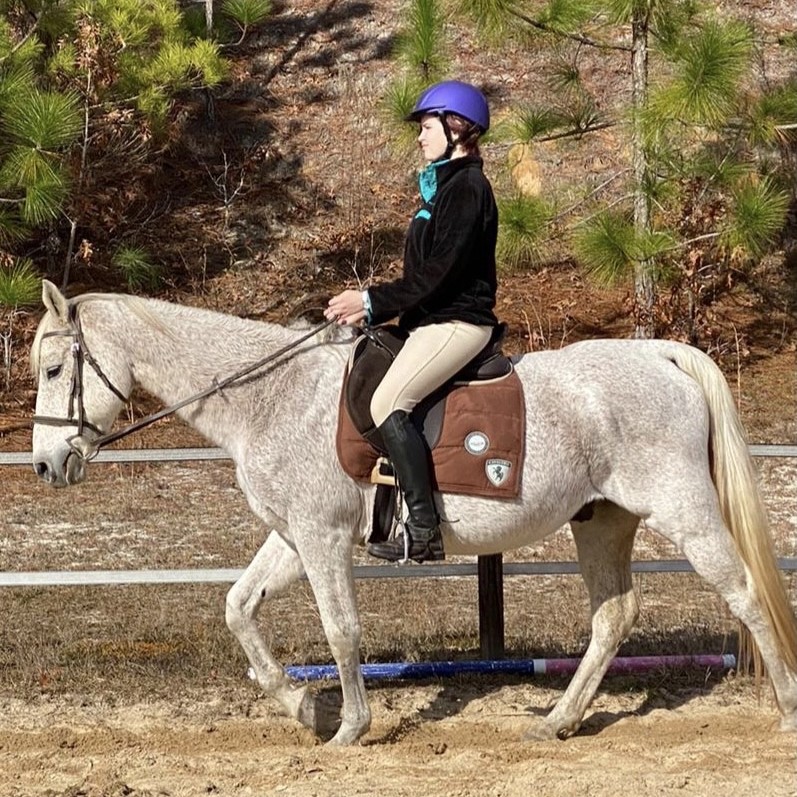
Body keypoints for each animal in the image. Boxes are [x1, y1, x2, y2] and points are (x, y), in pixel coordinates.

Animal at [30, 279, 797, 745]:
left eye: (51, 369)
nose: (44, 466)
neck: (271, 397)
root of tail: (659, 354)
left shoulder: (320, 537)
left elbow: (341, 630)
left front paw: (349, 726)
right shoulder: (293, 535)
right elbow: (238, 608)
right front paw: (306, 707)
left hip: (682, 508)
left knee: (743, 592)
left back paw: (787, 706)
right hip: (602, 518)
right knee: (613, 614)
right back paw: (555, 720)